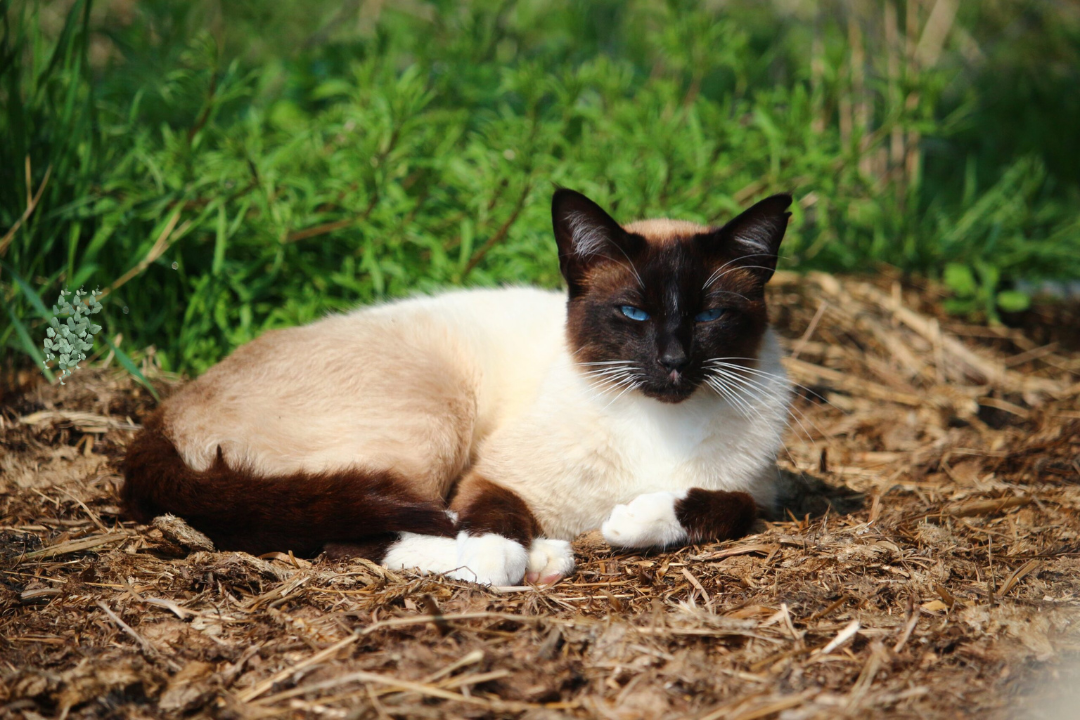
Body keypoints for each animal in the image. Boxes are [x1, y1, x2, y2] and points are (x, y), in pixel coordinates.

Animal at [122, 189, 794, 587]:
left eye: (709, 316)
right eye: (633, 314)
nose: (674, 362)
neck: (660, 425)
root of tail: (163, 413)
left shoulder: (760, 493)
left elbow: (729, 505)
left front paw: (630, 522)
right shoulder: (491, 476)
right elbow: (489, 521)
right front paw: (507, 555)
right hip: (437, 422)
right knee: (353, 531)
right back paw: (541, 558)